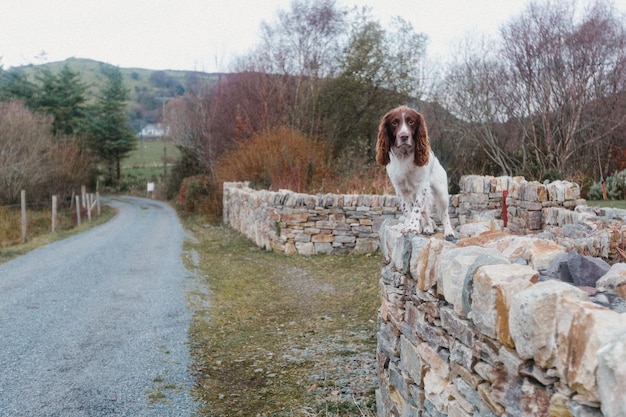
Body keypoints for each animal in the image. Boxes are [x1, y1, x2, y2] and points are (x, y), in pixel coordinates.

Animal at [376, 104, 454, 240]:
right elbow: (407, 209)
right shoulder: (399, 188)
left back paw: (448, 232)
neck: (404, 156)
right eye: (394, 122)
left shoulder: (422, 185)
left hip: (442, 193)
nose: (404, 136)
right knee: (426, 213)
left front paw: (412, 228)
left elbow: (416, 208)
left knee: (444, 214)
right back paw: (427, 228)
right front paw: (408, 226)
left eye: (411, 121)